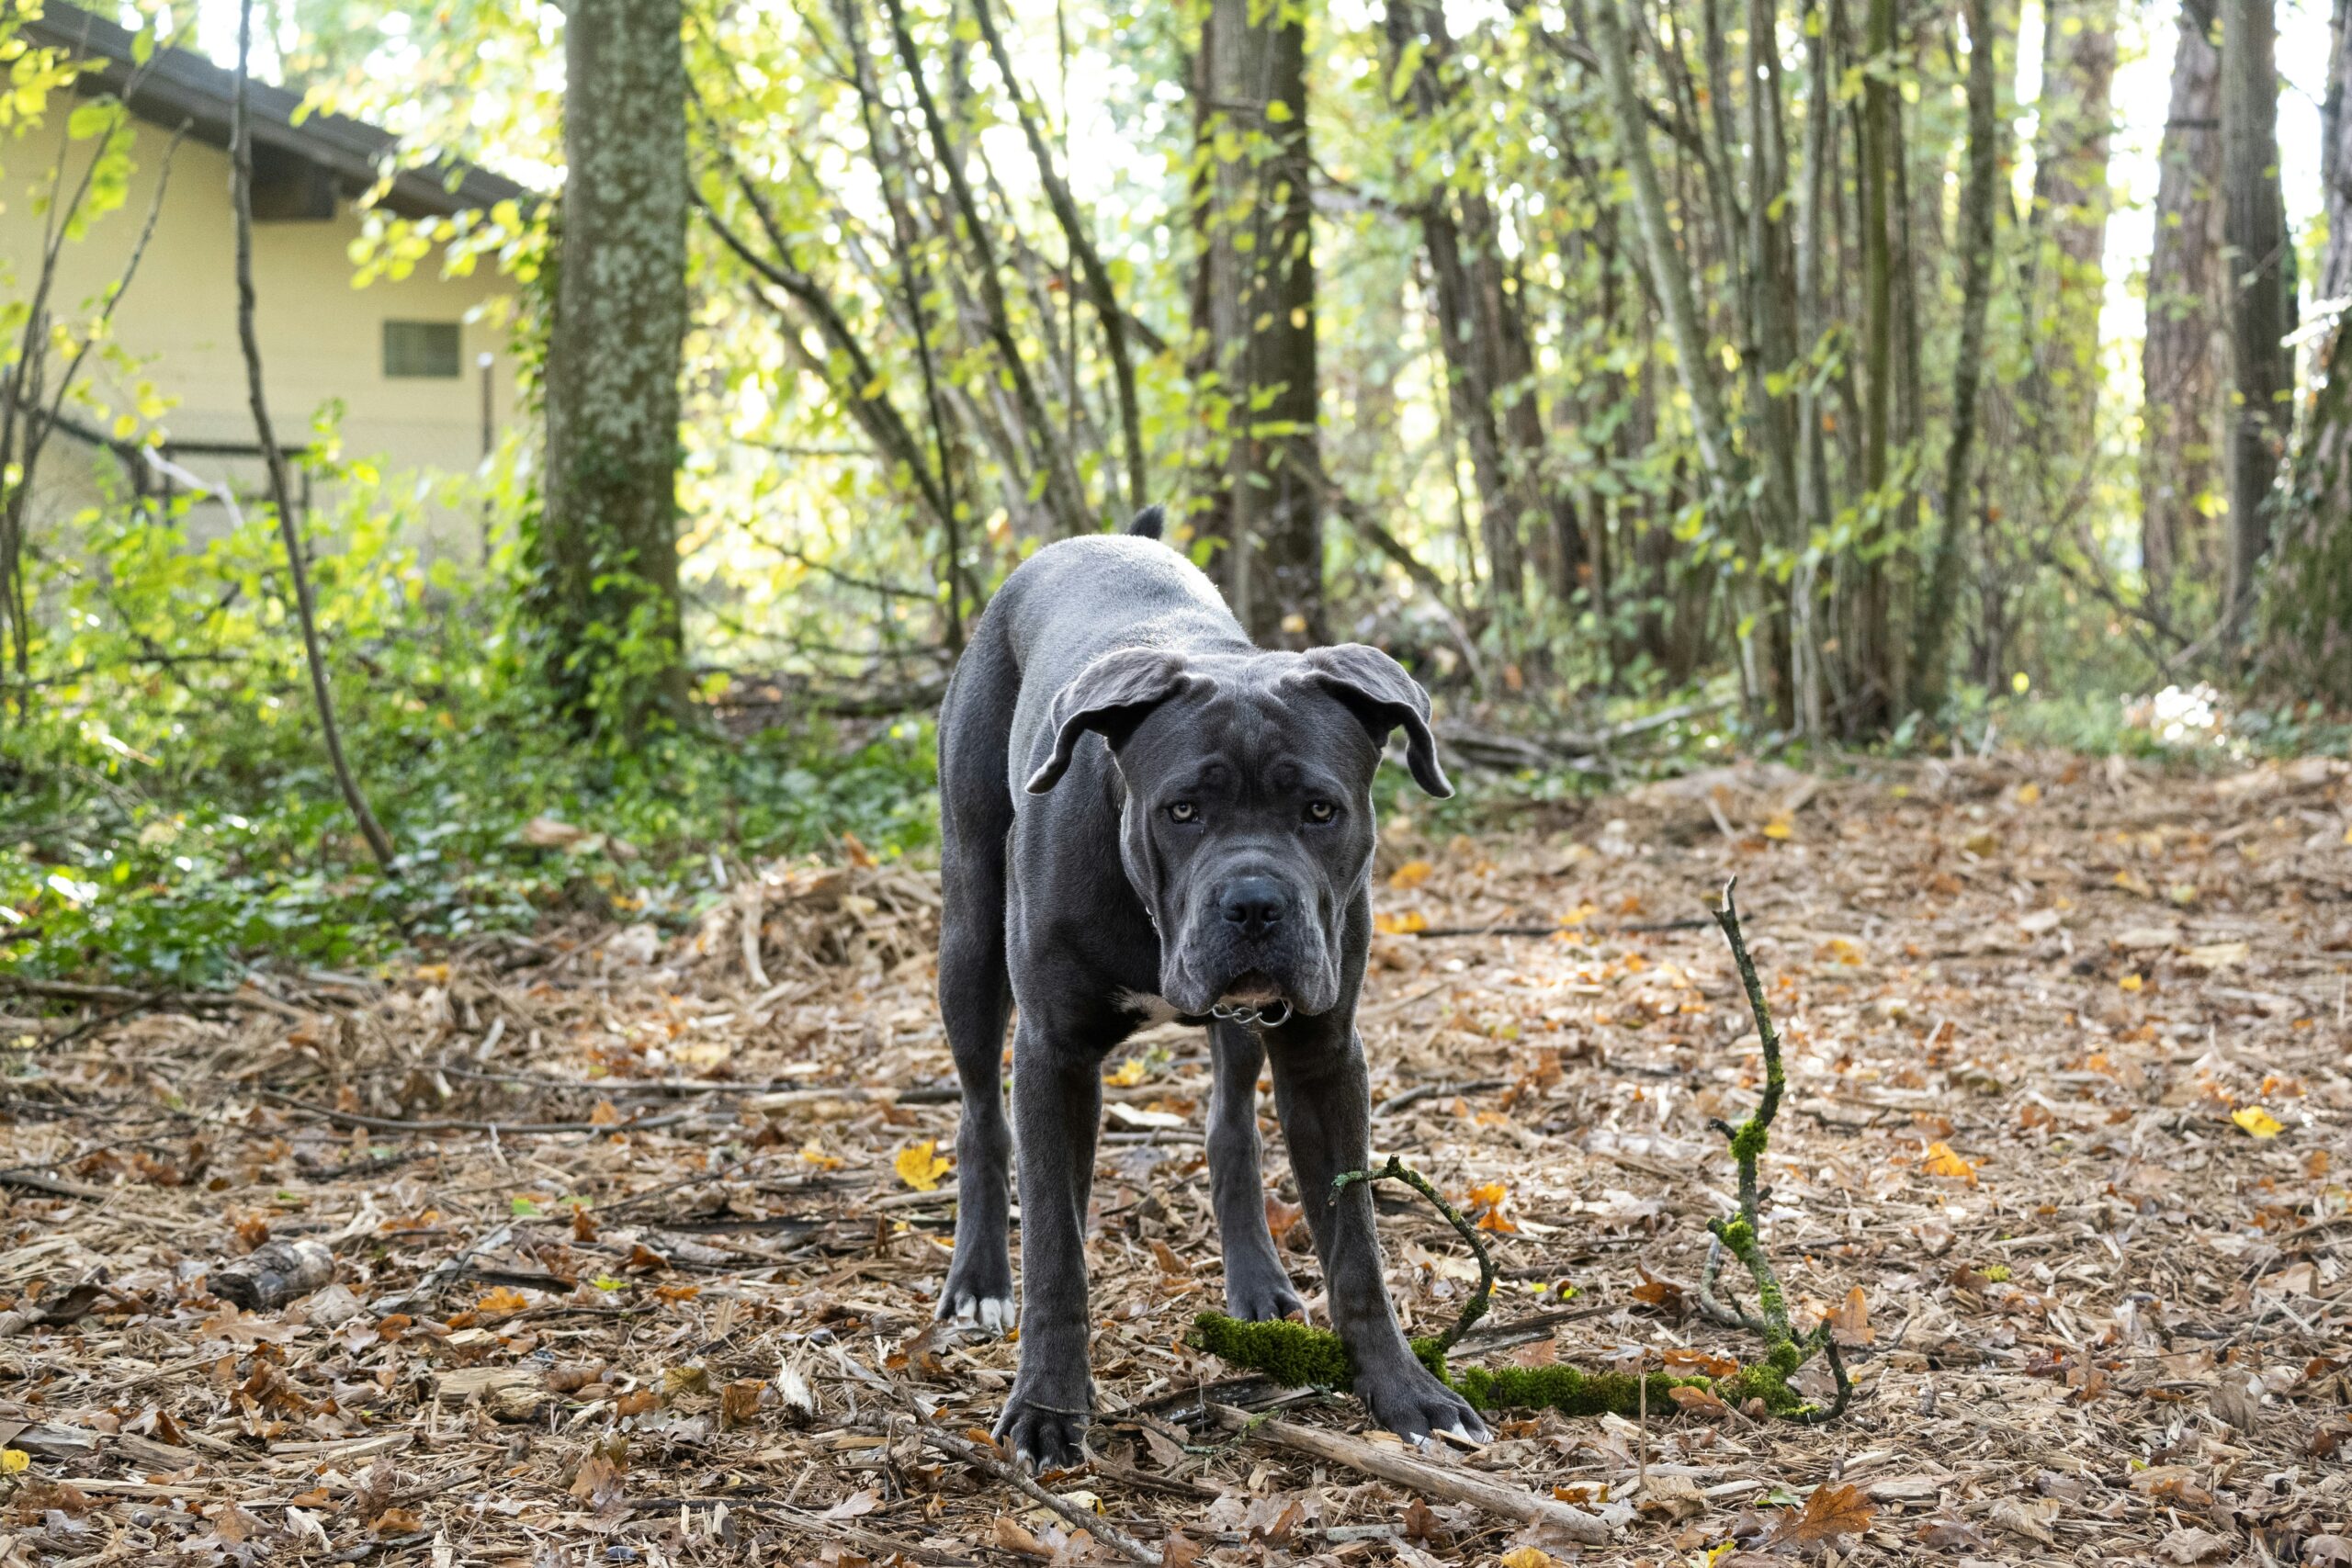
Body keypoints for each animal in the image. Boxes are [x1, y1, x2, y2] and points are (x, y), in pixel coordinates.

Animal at [922, 505, 1486, 1476]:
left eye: (1321, 809)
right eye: (1181, 810)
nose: (1254, 902)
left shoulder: (1323, 1051)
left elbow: (1356, 1242)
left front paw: (1402, 1387)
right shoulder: (1053, 1051)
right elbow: (1056, 1252)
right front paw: (1047, 1405)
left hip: (1244, 1019)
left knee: (1229, 1129)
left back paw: (1254, 1276)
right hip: (969, 939)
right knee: (983, 1119)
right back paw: (982, 1279)